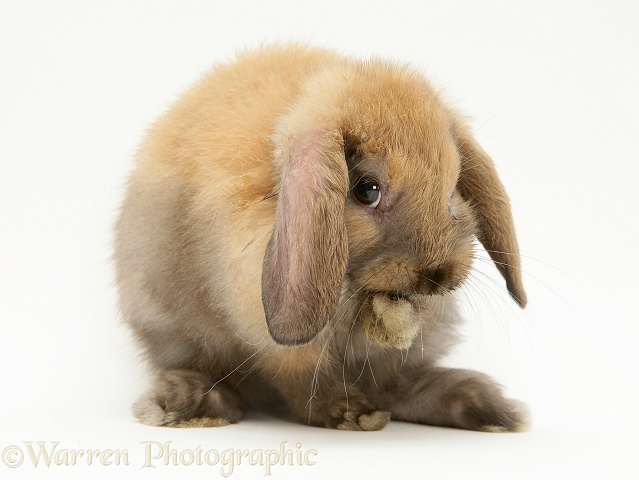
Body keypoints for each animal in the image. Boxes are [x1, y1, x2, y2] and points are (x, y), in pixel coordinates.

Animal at [114, 45, 528, 434]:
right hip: (170, 328)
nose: (438, 274)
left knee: (395, 385)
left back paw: (488, 408)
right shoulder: (276, 339)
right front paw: (347, 411)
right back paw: (195, 403)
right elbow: (304, 379)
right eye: (367, 190)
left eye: (452, 188)